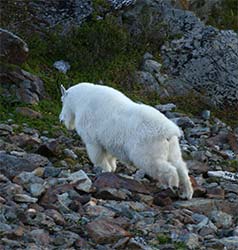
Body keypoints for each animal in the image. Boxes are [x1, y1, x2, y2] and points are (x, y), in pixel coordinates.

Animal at [59, 83, 193, 200]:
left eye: (62, 101)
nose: (61, 119)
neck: (81, 100)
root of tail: (169, 131)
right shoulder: (109, 139)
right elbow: (109, 155)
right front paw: (112, 168)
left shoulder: (92, 137)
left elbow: (97, 154)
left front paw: (105, 170)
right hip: (172, 146)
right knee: (179, 165)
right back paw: (187, 193)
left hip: (147, 148)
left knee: (160, 165)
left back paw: (172, 185)